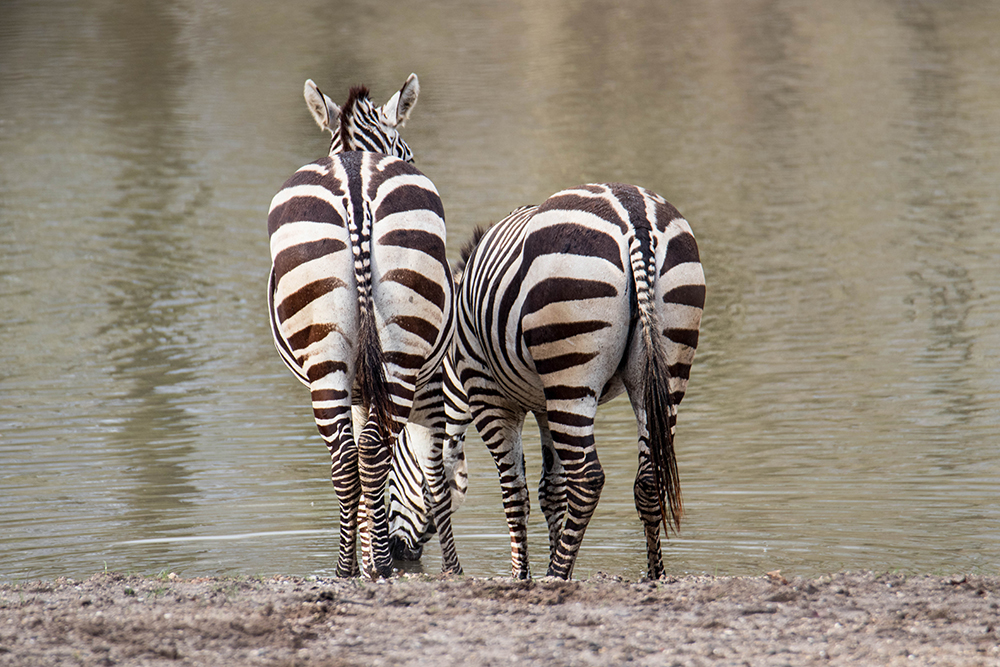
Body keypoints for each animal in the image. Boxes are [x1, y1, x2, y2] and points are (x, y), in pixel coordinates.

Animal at [270, 75, 464, 580]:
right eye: (409, 152)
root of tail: (355, 186)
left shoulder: (358, 386)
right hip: (400, 353)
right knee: (374, 453)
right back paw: (379, 564)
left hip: (325, 354)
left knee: (346, 459)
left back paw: (346, 569)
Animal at [454, 184, 704, 580]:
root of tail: (635, 216)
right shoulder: (544, 405)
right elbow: (551, 490)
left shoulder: (488, 394)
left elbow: (515, 491)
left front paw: (522, 575)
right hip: (666, 366)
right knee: (648, 479)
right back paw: (654, 575)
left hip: (570, 374)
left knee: (587, 478)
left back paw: (555, 575)